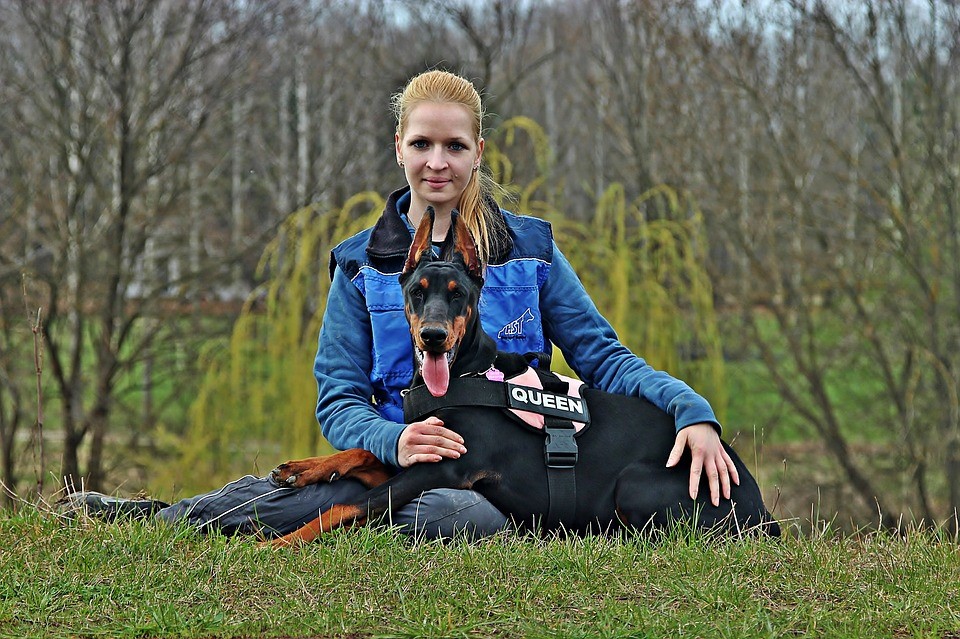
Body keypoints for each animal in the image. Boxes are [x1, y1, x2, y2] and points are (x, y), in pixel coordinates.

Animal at [266, 209, 776, 544]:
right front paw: (300, 469)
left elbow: (344, 505)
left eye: (458, 294)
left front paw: (279, 543)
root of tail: (763, 511)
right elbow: (363, 453)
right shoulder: (422, 449)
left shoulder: (445, 467)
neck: (468, 370)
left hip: (635, 485)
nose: (433, 337)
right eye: (417, 291)